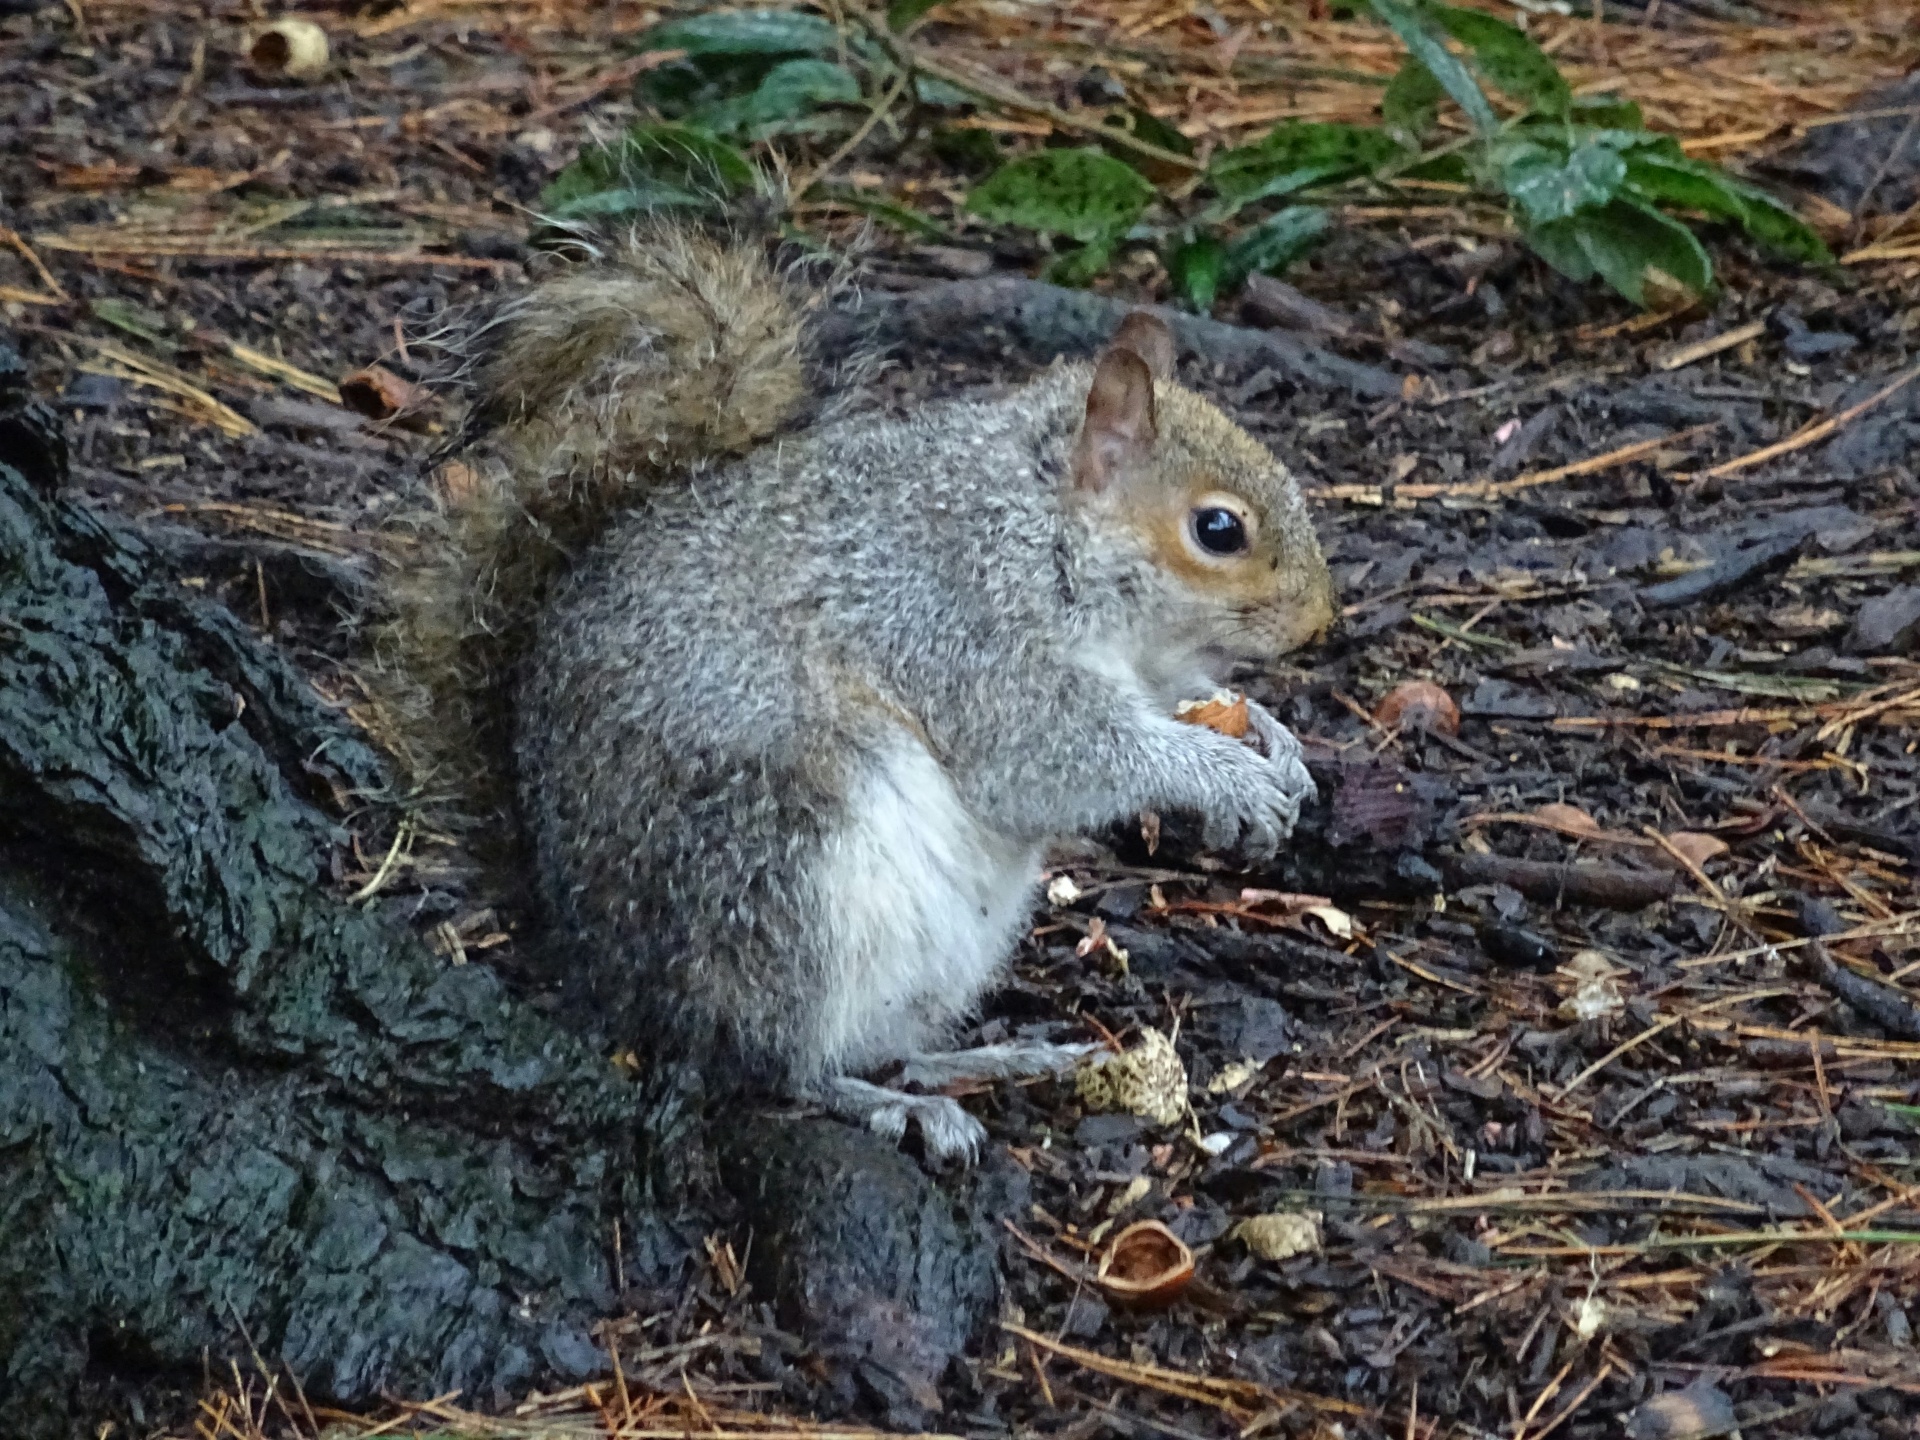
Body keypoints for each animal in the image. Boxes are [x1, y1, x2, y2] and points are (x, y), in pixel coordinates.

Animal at [374, 231, 1336, 1167]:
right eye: (1219, 529)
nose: (1319, 622)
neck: (1040, 529)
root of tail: (598, 963)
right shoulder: (960, 629)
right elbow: (1053, 756)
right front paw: (1223, 775)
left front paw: (1272, 741)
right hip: (774, 888)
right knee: (773, 1062)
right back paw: (891, 1105)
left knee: (885, 1042)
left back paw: (994, 1057)